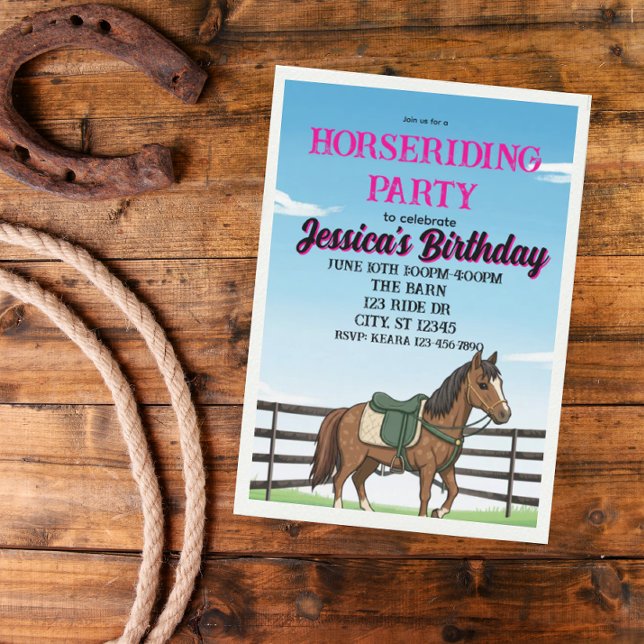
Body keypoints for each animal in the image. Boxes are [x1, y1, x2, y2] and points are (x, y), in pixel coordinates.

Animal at [309, 350, 511, 518]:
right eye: (483, 384)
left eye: (500, 383)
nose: (505, 414)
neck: (439, 423)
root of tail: (345, 411)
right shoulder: (428, 467)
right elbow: (425, 494)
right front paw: (424, 517)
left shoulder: (446, 467)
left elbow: (454, 490)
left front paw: (439, 512)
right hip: (353, 458)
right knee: (339, 479)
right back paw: (339, 509)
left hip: (370, 459)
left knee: (357, 479)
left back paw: (369, 510)